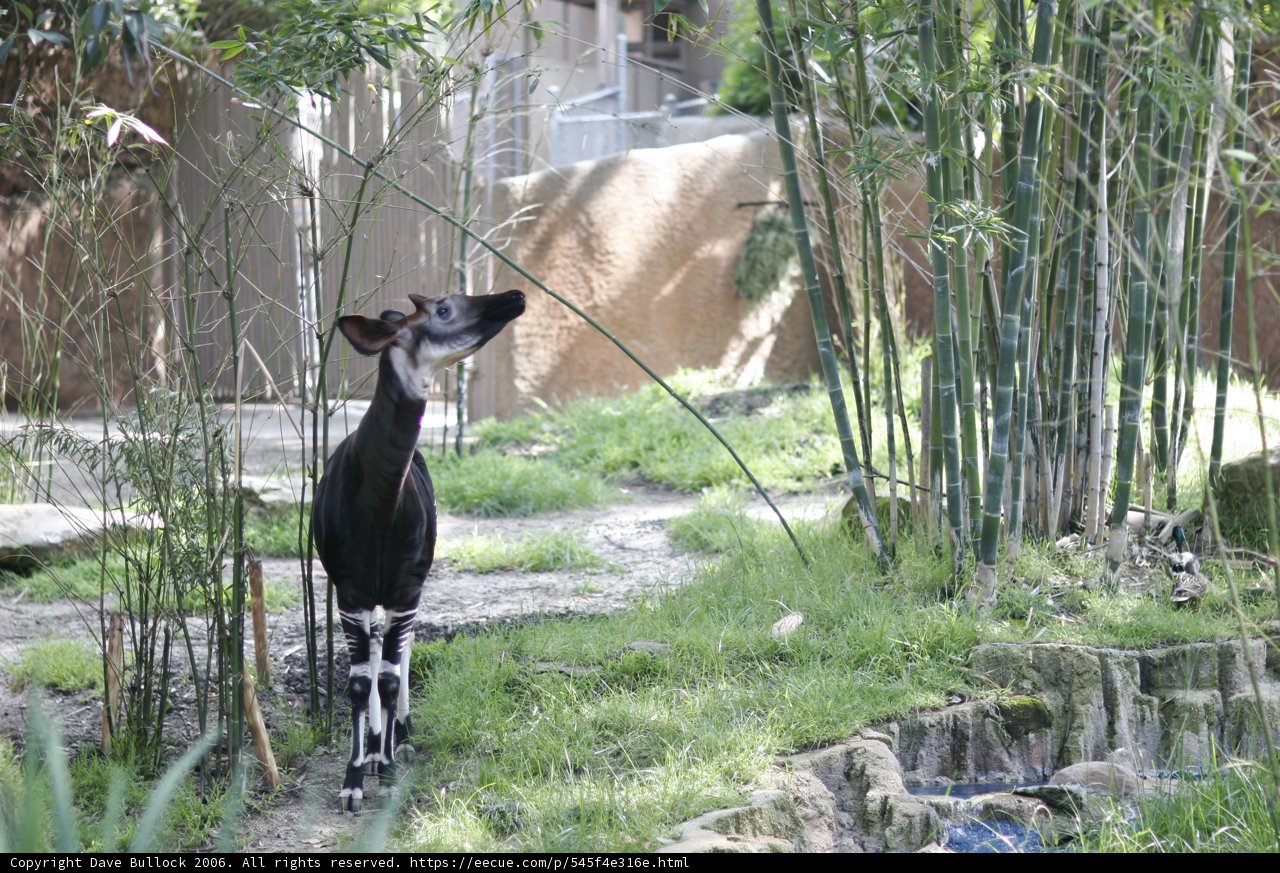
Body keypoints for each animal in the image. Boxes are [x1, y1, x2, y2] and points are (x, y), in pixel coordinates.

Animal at [312, 289, 525, 812]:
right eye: (444, 309)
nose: (515, 296)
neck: (379, 500)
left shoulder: (407, 587)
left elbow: (390, 676)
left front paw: (388, 772)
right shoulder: (350, 590)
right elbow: (359, 682)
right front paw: (354, 779)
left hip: (408, 590)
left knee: (400, 652)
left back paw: (397, 740)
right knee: (374, 648)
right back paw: (372, 747)